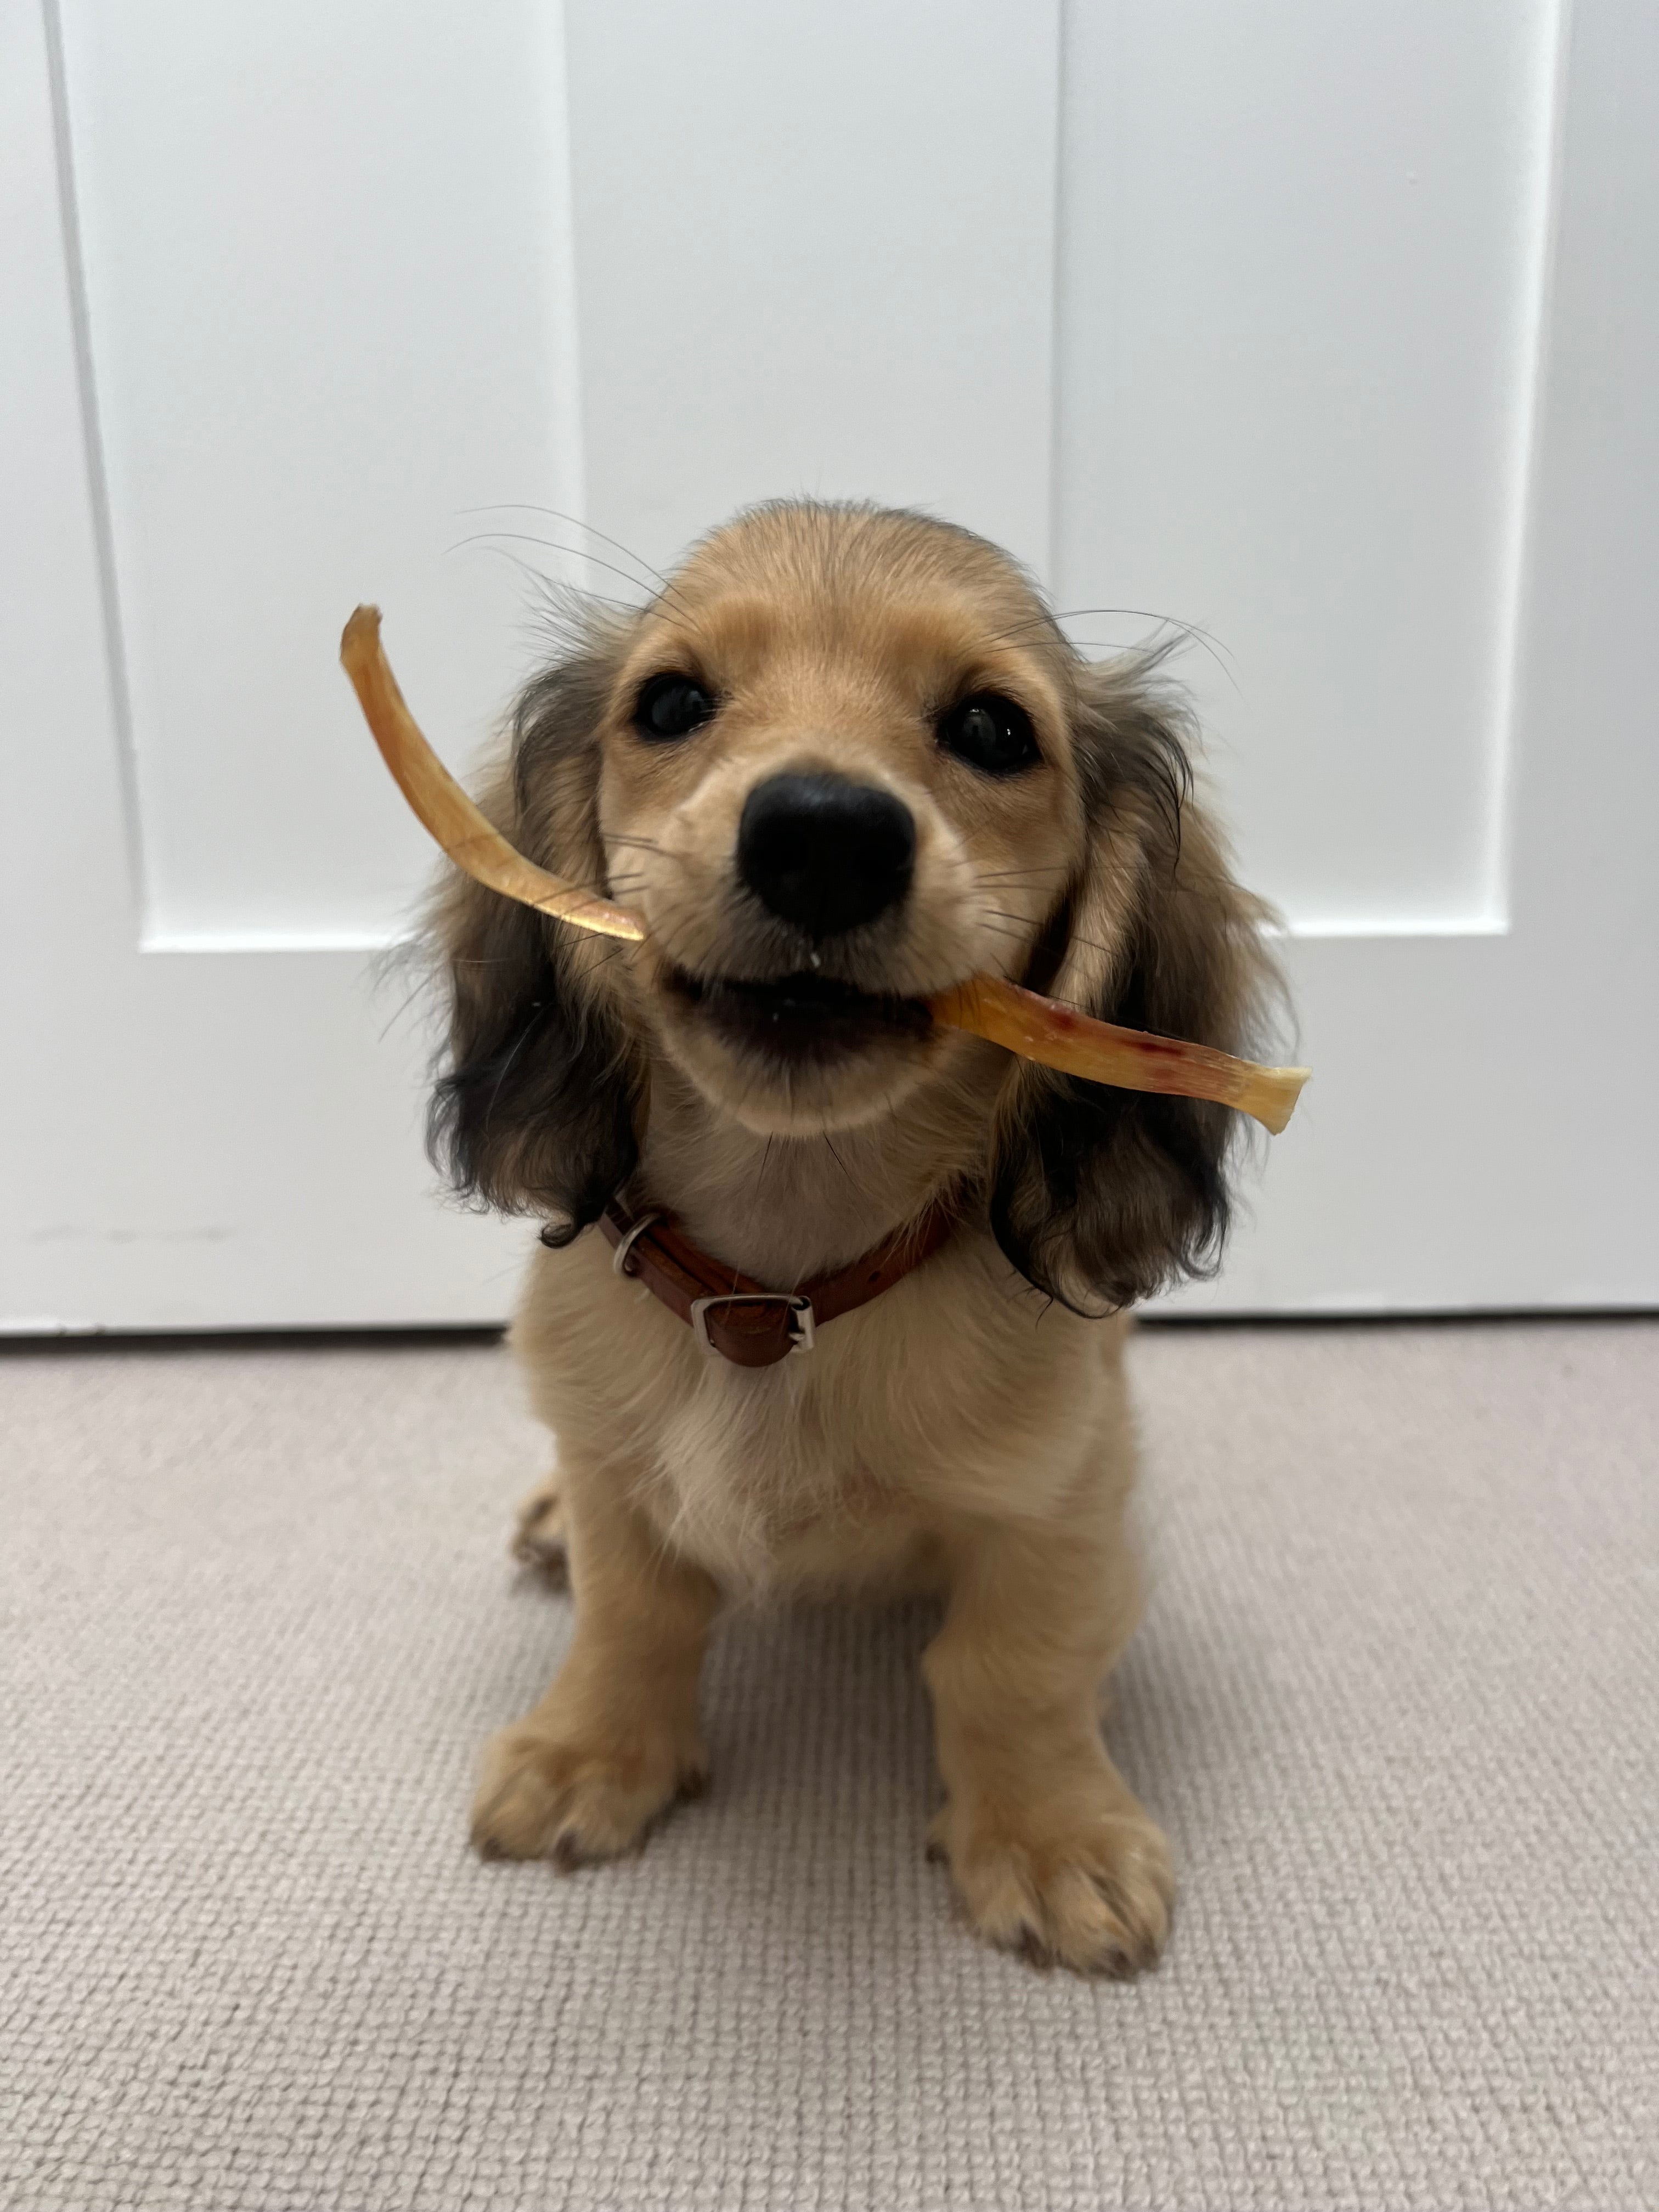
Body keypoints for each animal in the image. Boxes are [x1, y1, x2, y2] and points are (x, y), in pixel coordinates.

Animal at [431, 498, 1283, 1973]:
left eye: (995, 729)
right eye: (671, 703)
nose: (821, 837)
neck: (784, 1285)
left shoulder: (1060, 1491)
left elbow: (1013, 1663)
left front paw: (1049, 1834)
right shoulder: (614, 1454)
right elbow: (633, 1606)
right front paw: (593, 1751)